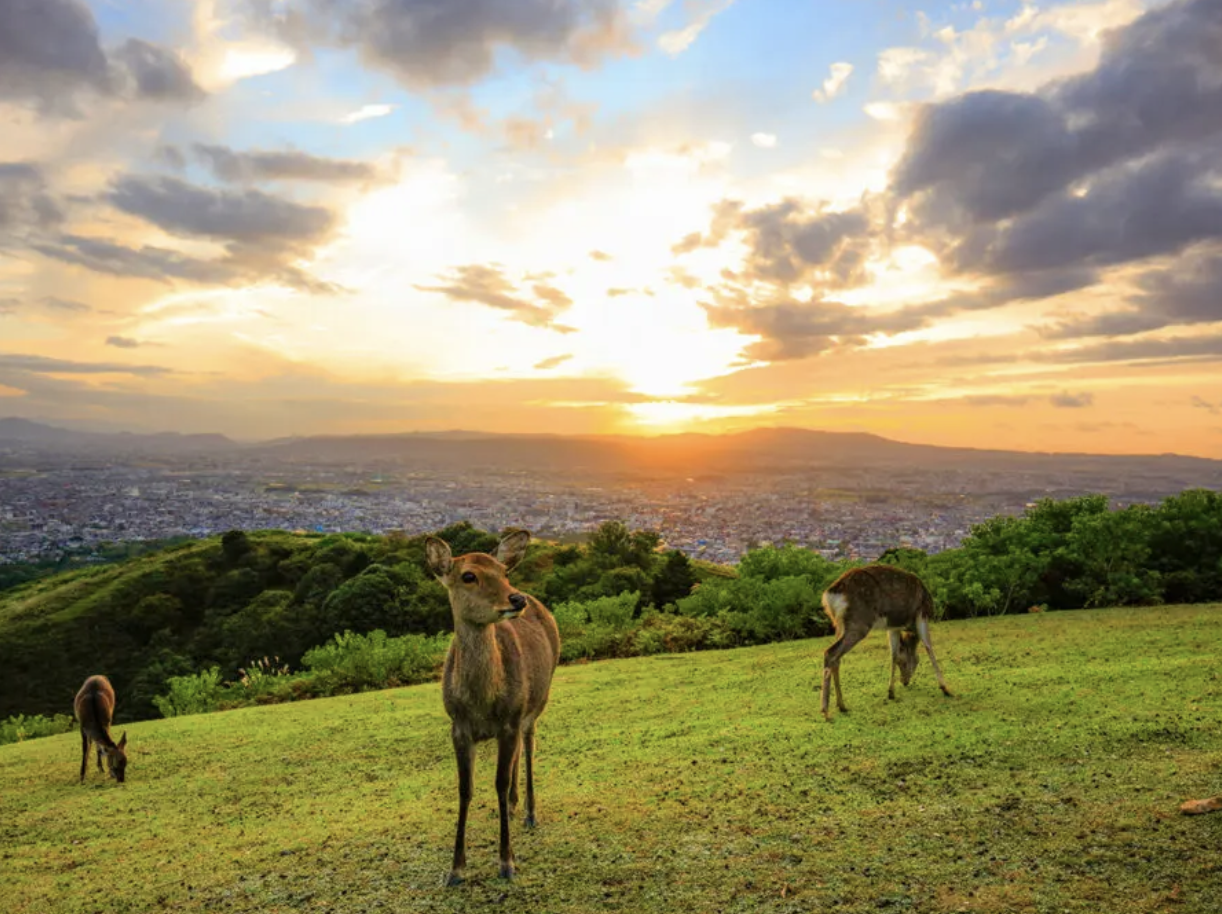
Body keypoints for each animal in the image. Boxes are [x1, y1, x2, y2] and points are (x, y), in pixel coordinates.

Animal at [425, 527, 562, 884]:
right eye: (468, 575)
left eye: (503, 572)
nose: (516, 599)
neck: (481, 702)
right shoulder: (457, 726)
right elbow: (465, 788)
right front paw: (456, 869)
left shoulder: (511, 719)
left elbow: (497, 783)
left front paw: (507, 863)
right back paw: (514, 806)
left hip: (537, 702)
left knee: (528, 747)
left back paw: (529, 812)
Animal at [821, 564, 953, 723]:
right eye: (915, 661)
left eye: (902, 662)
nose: (905, 681)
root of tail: (829, 596)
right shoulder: (922, 613)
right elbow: (928, 646)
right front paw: (946, 688)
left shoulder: (893, 626)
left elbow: (893, 654)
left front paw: (891, 692)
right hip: (859, 622)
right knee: (830, 652)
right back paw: (826, 712)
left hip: (839, 625)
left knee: (837, 658)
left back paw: (842, 706)